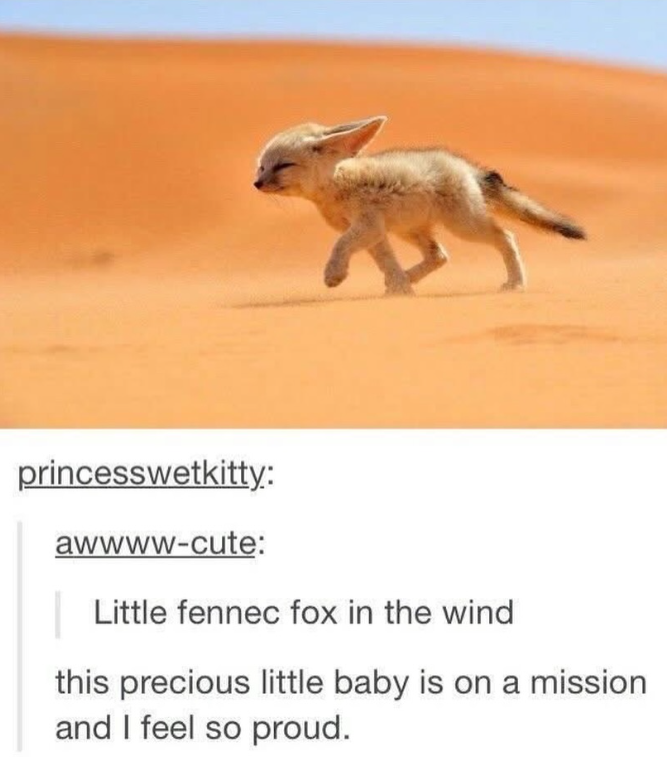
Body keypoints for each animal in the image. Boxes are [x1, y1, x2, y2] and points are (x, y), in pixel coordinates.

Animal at [254, 116, 586, 296]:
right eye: (261, 167)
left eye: (283, 166)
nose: (256, 184)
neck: (337, 185)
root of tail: (467, 167)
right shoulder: (374, 232)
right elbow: (386, 261)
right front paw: (401, 288)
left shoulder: (366, 225)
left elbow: (340, 245)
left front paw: (334, 274)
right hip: (410, 230)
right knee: (439, 255)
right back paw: (405, 279)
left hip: (464, 226)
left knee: (505, 236)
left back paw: (515, 283)